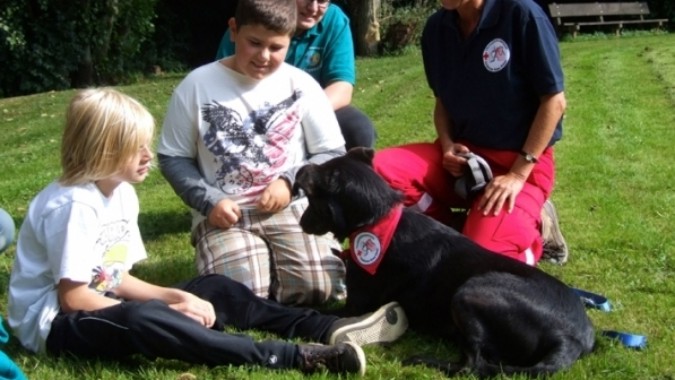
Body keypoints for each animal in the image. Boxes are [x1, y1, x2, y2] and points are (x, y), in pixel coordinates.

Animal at [296, 148, 596, 378]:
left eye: (310, 195)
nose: (300, 222)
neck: (377, 219)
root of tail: (570, 340)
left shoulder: (354, 306)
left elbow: (309, 309)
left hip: (469, 292)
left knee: (473, 365)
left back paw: (423, 360)